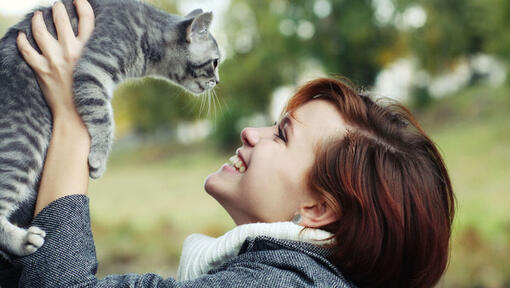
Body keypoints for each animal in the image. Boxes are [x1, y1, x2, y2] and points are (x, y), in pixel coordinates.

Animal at [0, 0, 220, 260]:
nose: (218, 81)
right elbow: (104, 117)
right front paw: (99, 159)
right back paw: (22, 240)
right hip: (24, 145)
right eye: (215, 62)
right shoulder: (92, 68)